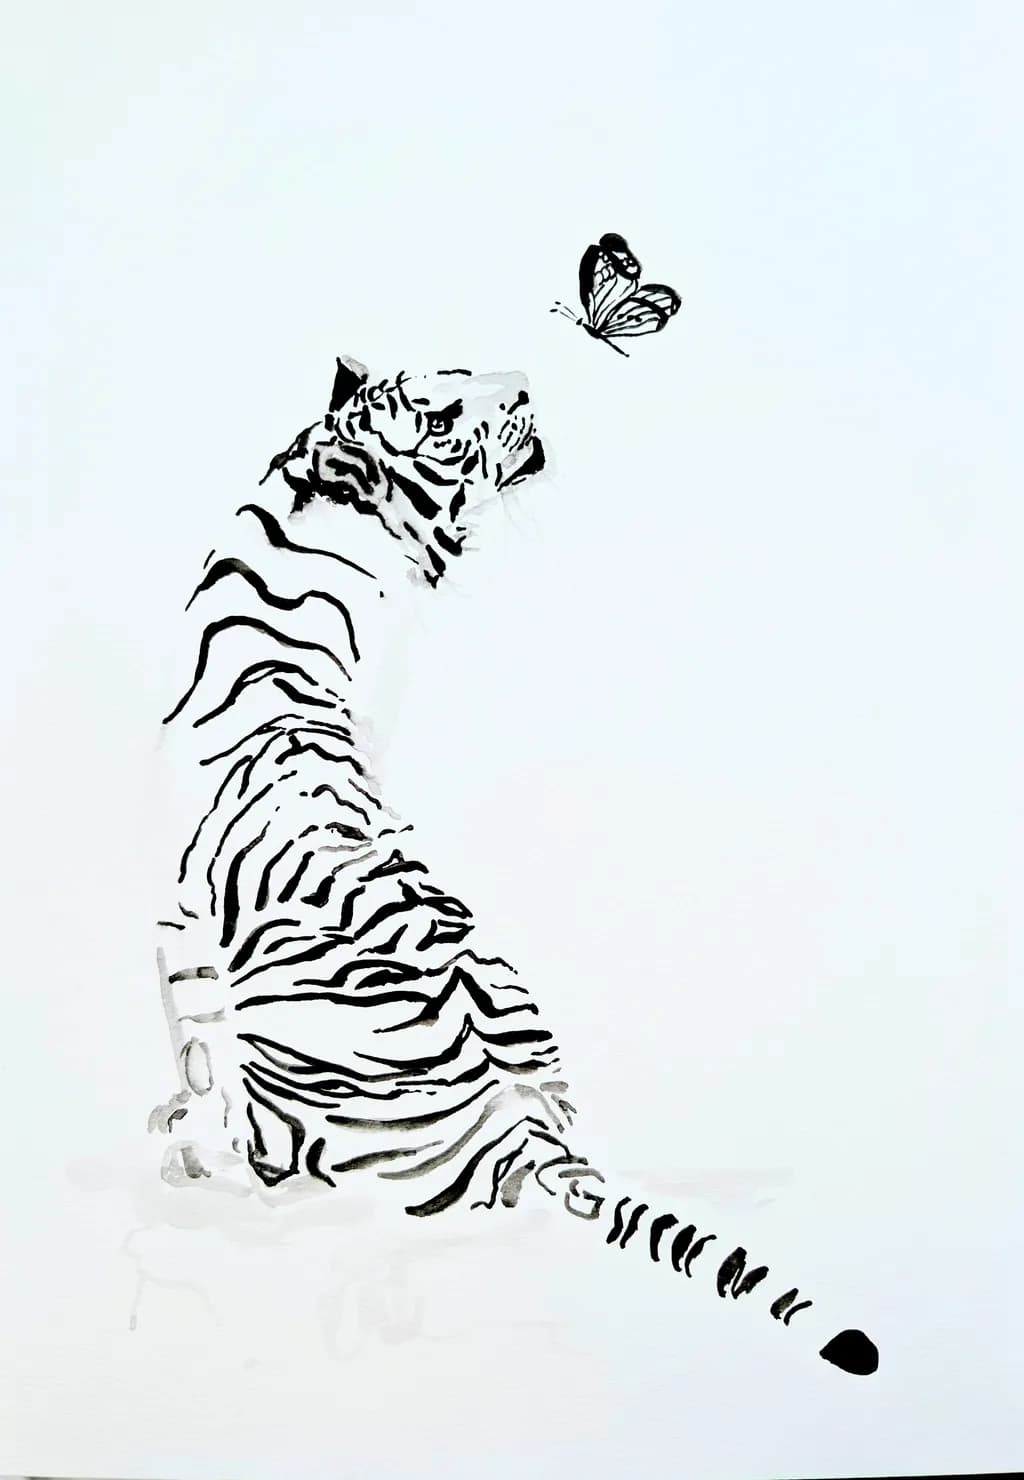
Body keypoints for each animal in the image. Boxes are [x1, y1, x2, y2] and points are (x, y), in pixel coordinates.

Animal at [148, 354, 879, 1378]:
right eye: (442, 410)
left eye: (455, 375)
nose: (527, 380)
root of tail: (529, 1137)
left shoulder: (175, 917)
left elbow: (196, 1039)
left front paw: (182, 1130)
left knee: (284, 1157)